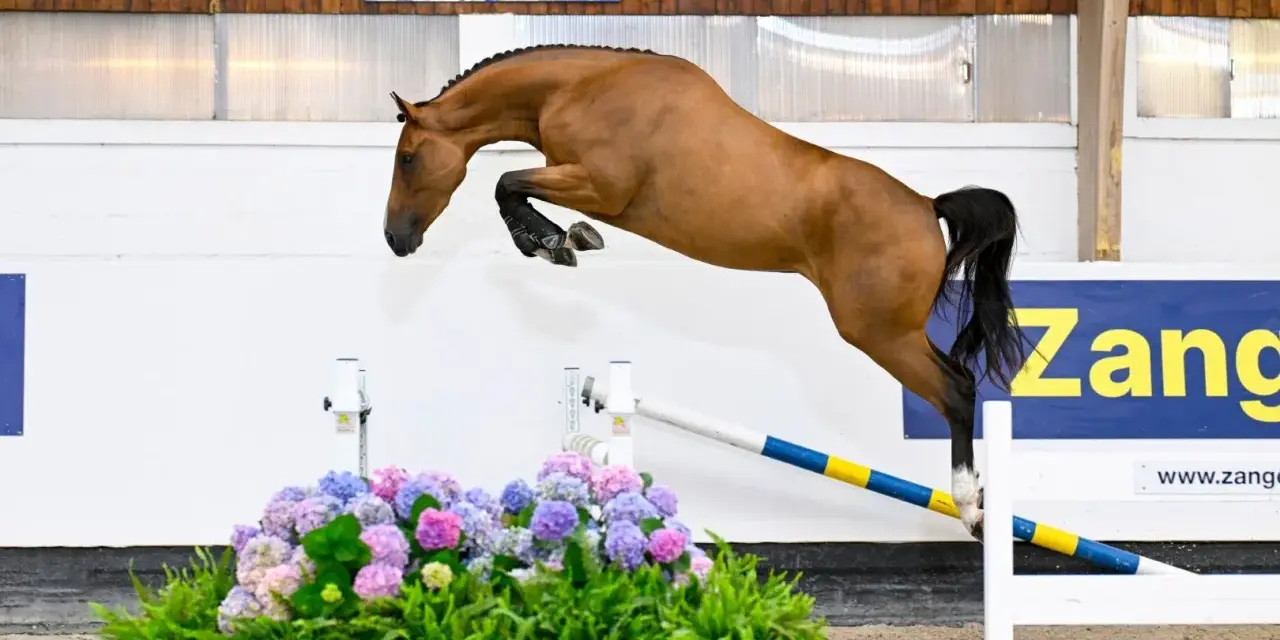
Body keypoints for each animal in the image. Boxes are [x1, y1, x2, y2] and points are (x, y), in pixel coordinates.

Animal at [381, 44, 1029, 541]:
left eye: (408, 159)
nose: (395, 239)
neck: (583, 87)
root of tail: (927, 206)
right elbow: (511, 185)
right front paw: (560, 239)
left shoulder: (599, 185)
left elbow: (506, 182)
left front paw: (555, 241)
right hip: (892, 332)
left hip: (879, 332)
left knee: (957, 390)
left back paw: (970, 507)